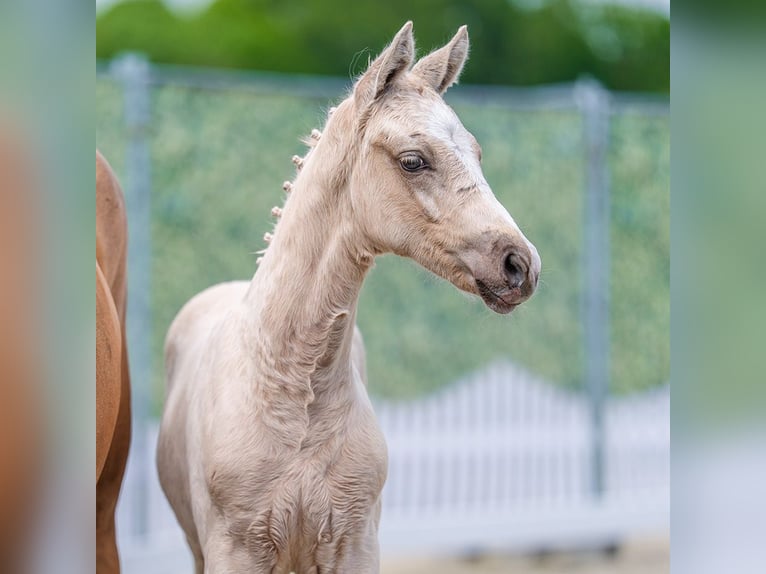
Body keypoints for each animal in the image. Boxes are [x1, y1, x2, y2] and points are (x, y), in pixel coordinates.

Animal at [157, 22, 540, 573]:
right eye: (413, 161)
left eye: (477, 152)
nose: (521, 264)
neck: (295, 386)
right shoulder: (232, 552)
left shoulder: (356, 543)